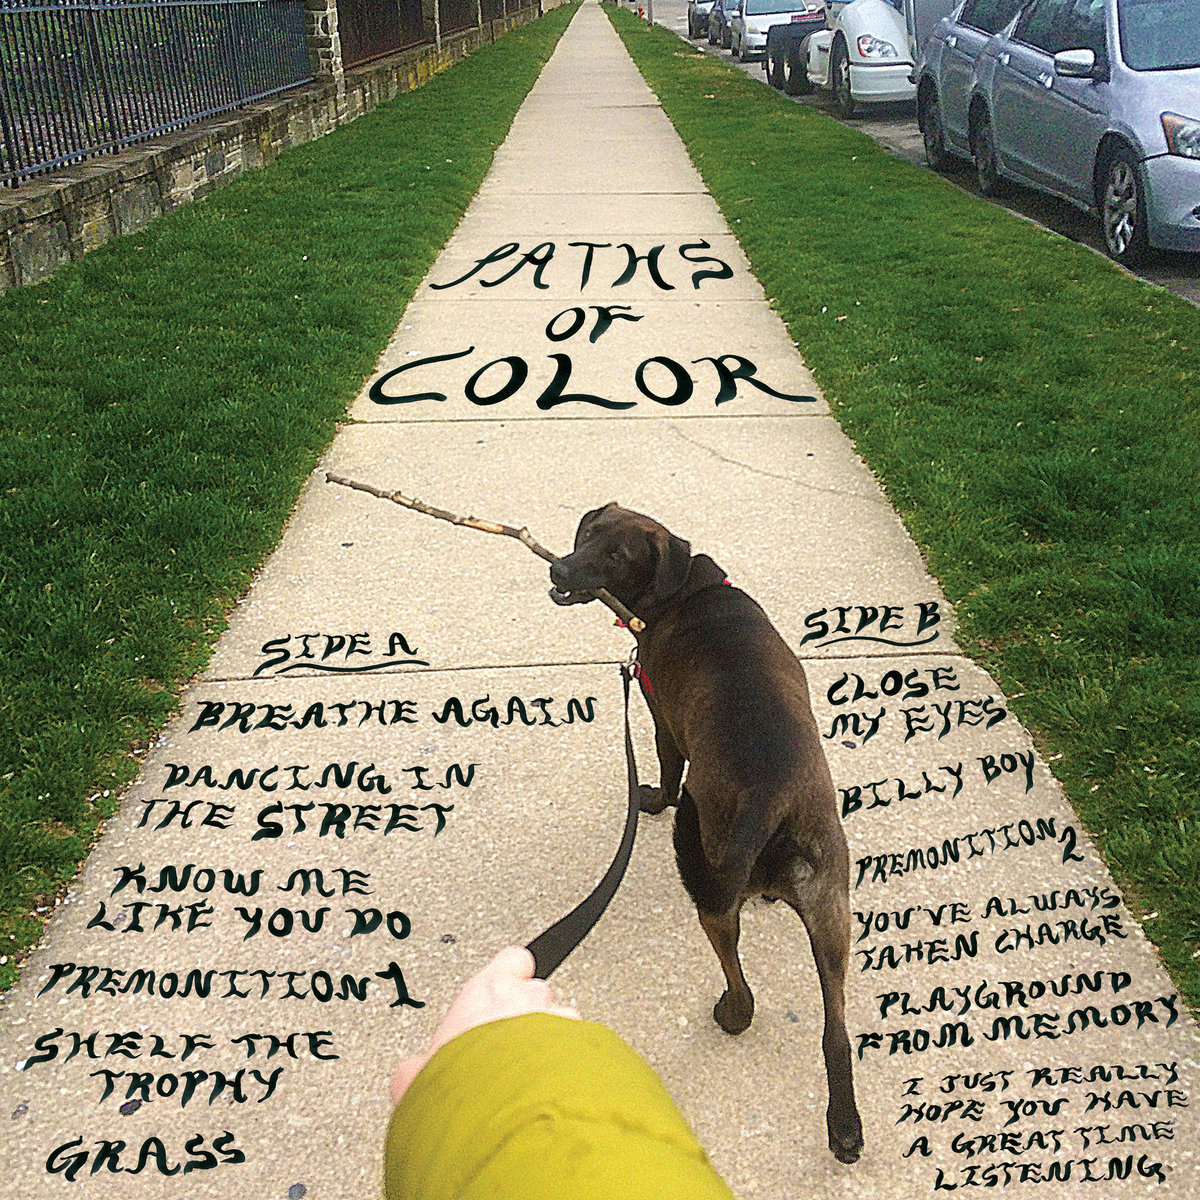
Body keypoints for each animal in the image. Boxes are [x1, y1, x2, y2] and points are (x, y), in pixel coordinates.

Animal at [548, 502, 863, 1164]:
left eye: (615, 556)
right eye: (586, 535)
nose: (559, 568)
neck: (685, 591)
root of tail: (774, 799)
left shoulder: (662, 720)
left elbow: (667, 773)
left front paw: (653, 801)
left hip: (714, 898)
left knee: (743, 989)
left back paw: (730, 1015)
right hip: (832, 911)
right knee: (837, 1030)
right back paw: (844, 1127)